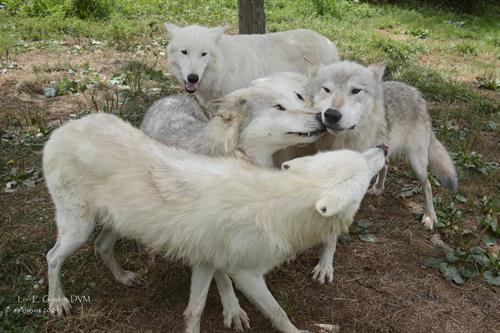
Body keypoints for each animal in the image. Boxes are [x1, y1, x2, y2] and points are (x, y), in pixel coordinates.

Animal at [44, 112, 386, 332]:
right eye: (363, 168)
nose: (383, 147)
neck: (281, 205)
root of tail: (64, 128)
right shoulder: (245, 274)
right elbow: (278, 313)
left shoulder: (206, 261)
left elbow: (194, 310)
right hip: (78, 230)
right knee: (52, 256)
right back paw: (57, 303)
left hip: (114, 224)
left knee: (101, 247)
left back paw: (124, 278)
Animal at [306, 60, 458, 282]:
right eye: (326, 89)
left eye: (356, 90)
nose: (331, 114)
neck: (343, 142)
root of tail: (415, 91)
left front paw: (325, 265)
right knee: (385, 166)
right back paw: (378, 188)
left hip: (417, 162)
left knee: (428, 184)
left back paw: (430, 216)